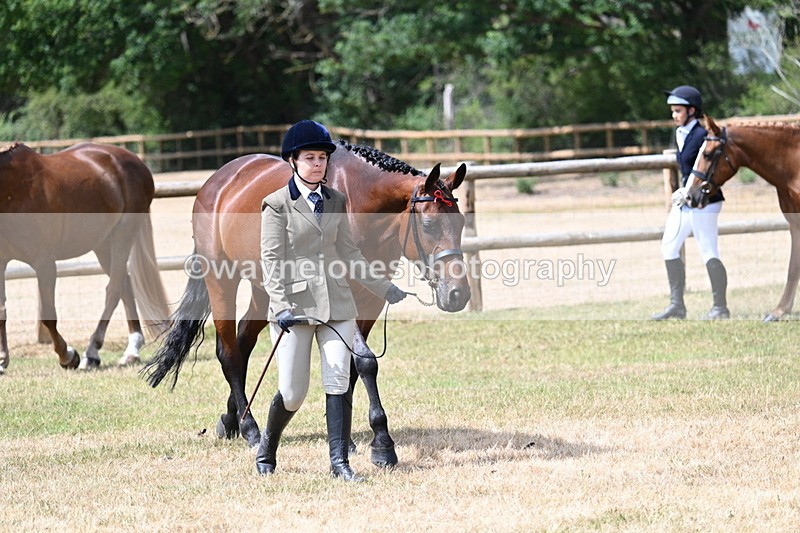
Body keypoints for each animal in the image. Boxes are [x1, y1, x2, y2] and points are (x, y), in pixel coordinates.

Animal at [0, 142, 170, 374]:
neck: (14, 188)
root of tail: (135, 160)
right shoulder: (1, 262)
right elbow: (1, 311)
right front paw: (2, 360)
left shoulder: (45, 263)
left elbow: (48, 316)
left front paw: (68, 356)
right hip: (103, 244)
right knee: (124, 284)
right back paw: (131, 350)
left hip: (123, 234)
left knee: (113, 291)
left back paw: (93, 352)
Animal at [143, 141, 470, 466]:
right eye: (428, 225)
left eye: (462, 223)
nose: (458, 294)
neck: (360, 204)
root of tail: (217, 183)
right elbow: (365, 363)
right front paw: (382, 444)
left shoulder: (371, 301)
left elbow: (350, 368)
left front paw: (348, 438)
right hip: (221, 281)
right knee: (229, 353)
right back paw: (250, 429)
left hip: (267, 291)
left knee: (244, 342)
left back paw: (231, 419)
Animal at [685, 116, 800, 321]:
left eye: (707, 154)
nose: (690, 196)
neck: (795, 166)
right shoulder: (795, 225)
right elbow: (793, 267)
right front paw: (779, 311)